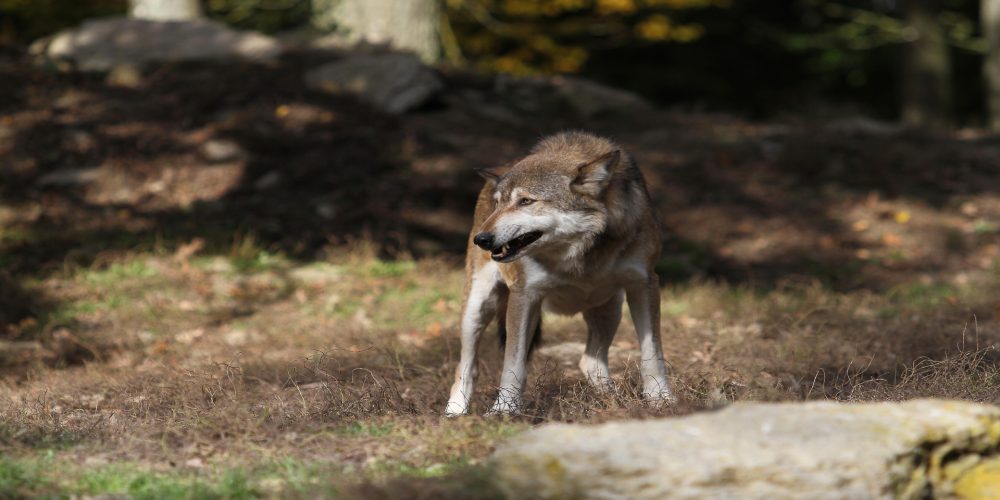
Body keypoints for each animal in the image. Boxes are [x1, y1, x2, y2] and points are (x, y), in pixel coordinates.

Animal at [445, 131, 676, 416]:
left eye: (525, 201)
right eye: (498, 204)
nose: (482, 239)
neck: (576, 255)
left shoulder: (644, 285)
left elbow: (652, 355)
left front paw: (661, 400)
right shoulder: (525, 295)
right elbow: (513, 365)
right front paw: (504, 410)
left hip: (610, 307)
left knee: (589, 362)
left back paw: (613, 401)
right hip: (477, 307)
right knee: (466, 366)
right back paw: (455, 413)